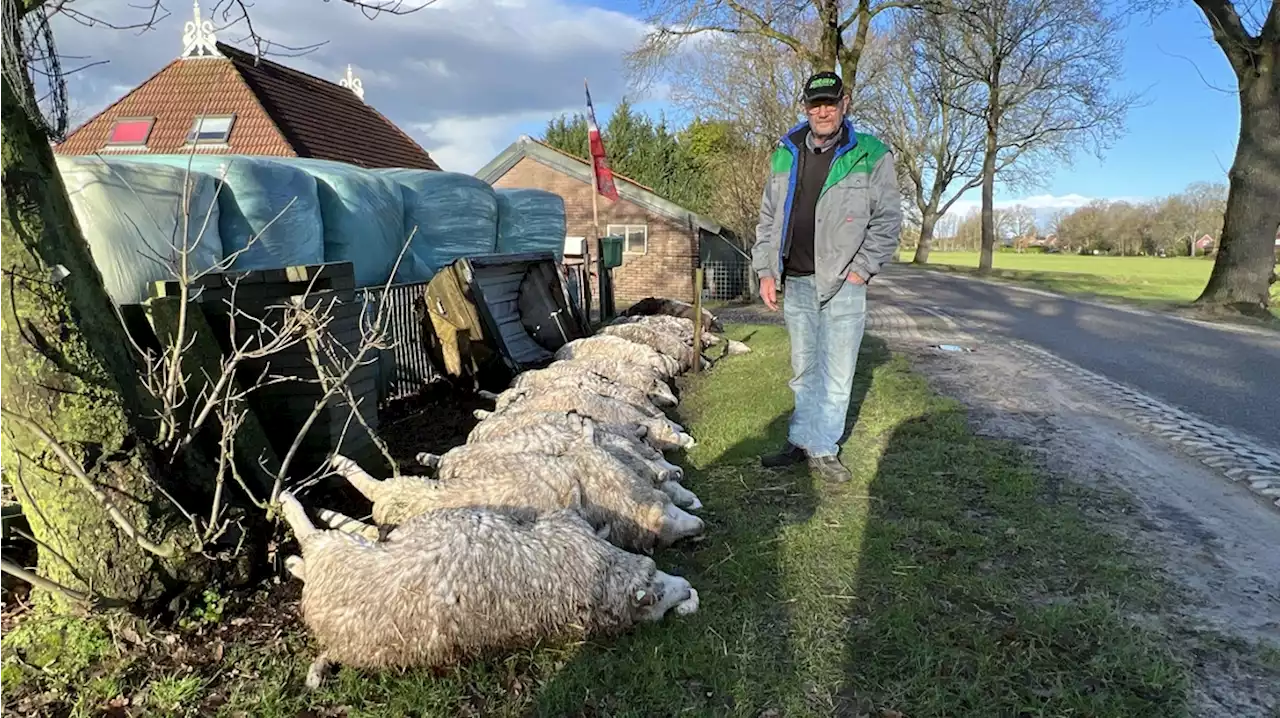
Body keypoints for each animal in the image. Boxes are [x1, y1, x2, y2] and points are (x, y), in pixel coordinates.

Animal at [275, 488, 701, 686]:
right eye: (656, 584)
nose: (687, 589)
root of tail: (336, 642)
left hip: (337, 555)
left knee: (310, 541)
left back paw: (290, 514)